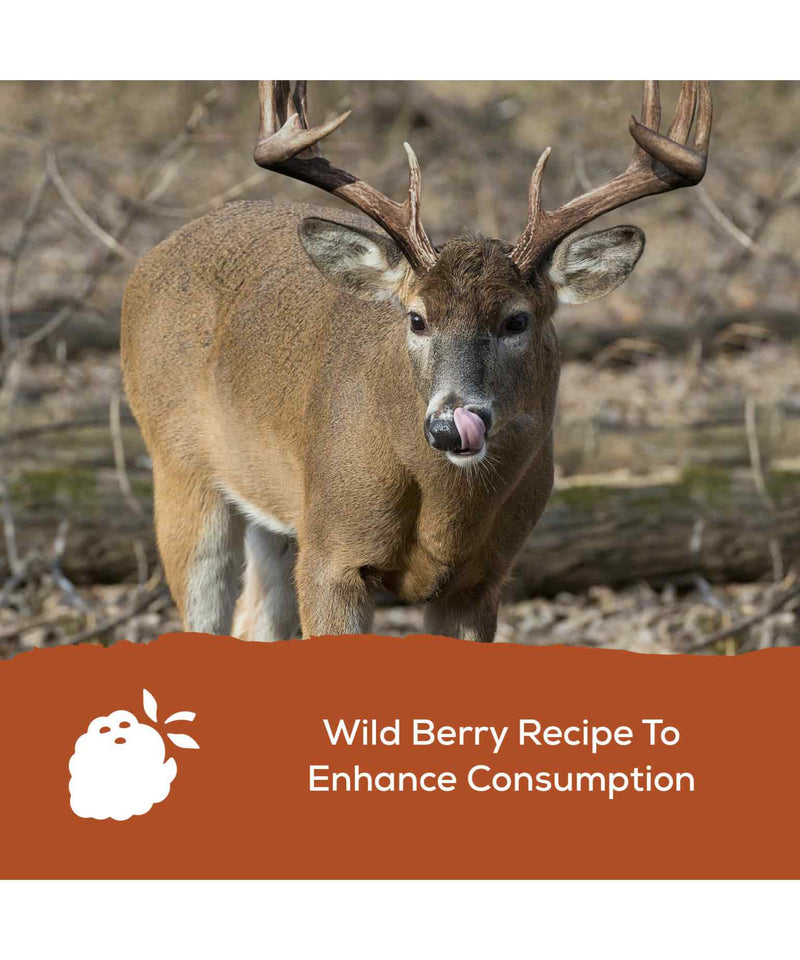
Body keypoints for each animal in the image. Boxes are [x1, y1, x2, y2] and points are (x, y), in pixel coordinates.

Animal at [121, 80, 712, 643]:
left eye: (517, 320)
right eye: (417, 318)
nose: (450, 425)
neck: (445, 517)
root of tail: (150, 260)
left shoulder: (482, 580)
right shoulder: (330, 555)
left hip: (273, 506)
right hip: (179, 464)